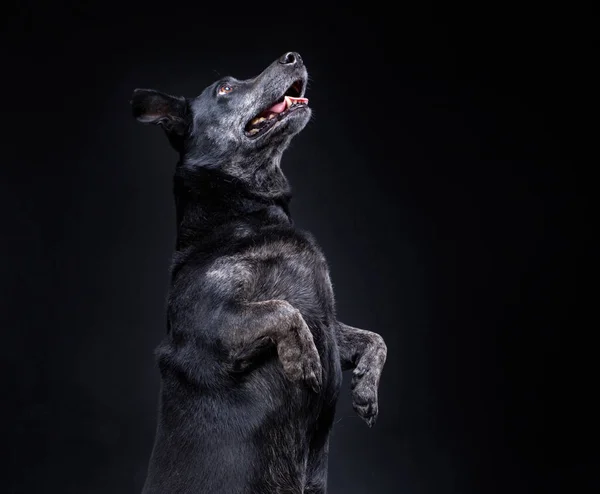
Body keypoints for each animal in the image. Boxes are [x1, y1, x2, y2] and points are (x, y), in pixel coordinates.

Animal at [131, 51, 386, 494]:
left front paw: (366, 390)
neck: (243, 215)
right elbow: (282, 309)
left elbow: (375, 339)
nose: (293, 56)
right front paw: (304, 359)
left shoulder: (327, 321)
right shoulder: (210, 326)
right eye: (224, 89)